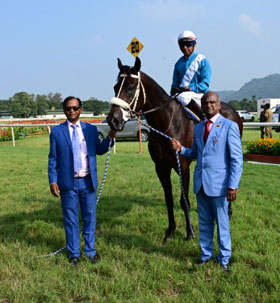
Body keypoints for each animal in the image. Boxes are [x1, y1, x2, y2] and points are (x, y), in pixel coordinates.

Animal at [106, 55, 242, 243]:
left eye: (131, 87)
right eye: (115, 87)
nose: (113, 119)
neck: (167, 125)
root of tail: (233, 111)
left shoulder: (182, 166)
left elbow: (184, 201)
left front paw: (190, 232)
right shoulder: (161, 167)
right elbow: (169, 199)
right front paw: (170, 231)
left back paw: (227, 211)